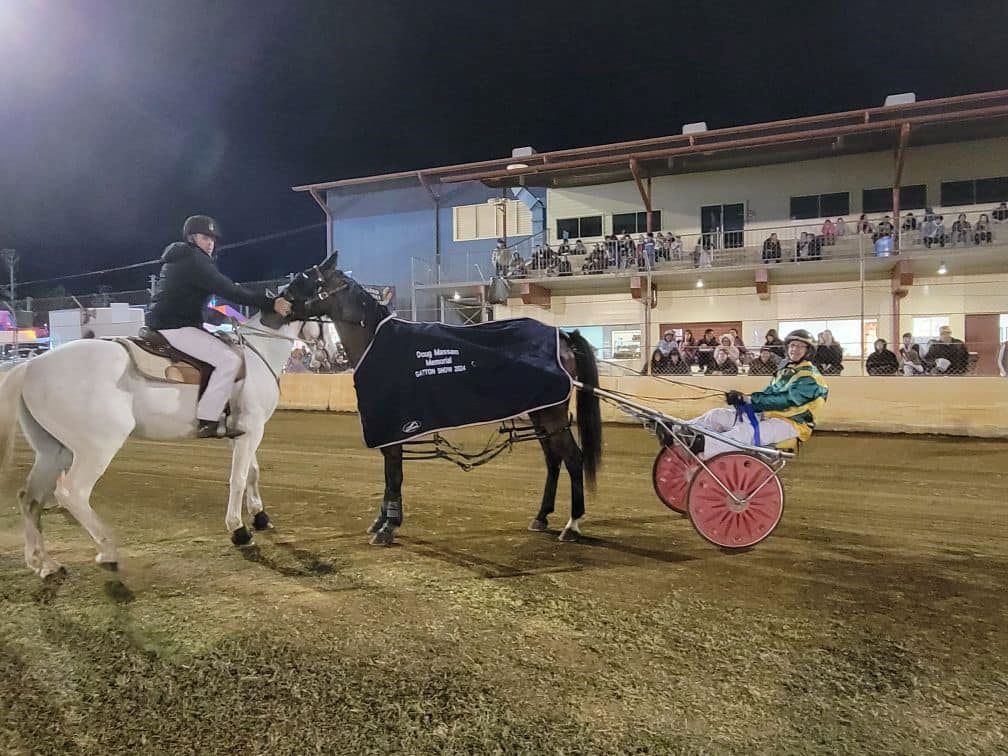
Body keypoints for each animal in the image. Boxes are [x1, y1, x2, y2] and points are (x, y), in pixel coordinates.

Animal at [0, 302, 316, 578]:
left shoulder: (242, 433)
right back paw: (107, 549)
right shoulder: (252, 429)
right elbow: (238, 479)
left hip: (53, 451)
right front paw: (239, 530)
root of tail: (31, 366)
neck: (255, 355)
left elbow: (252, 472)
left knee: (29, 498)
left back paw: (43, 563)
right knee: (71, 493)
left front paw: (260, 516)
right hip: (96, 448)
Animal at [286, 255, 603, 546]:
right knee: (553, 460)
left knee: (573, 458)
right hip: (540, 412)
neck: (375, 341)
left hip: (552, 414)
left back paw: (572, 524)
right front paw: (381, 521)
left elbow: (394, 474)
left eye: (305, 278)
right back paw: (541, 516)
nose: (279, 302)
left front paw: (388, 526)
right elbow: (389, 475)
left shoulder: (394, 427)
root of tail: (562, 337)